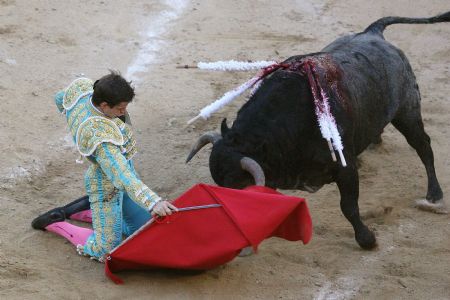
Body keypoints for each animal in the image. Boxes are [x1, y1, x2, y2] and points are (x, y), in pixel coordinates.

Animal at [187, 12, 450, 251]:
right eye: (219, 184)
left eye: (238, 186)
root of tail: (373, 33)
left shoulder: (345, 169)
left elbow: (349, 207)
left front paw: (368, 240)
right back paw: (376, 142)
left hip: (408, 111)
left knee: (423, 147)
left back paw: (434, 195)